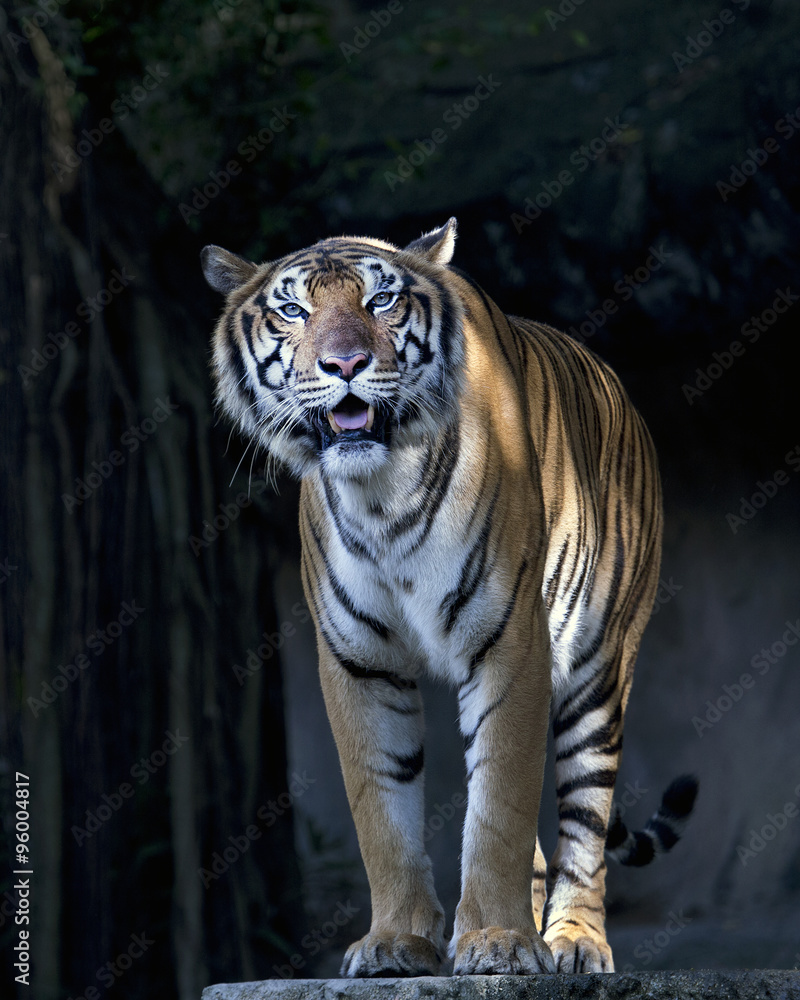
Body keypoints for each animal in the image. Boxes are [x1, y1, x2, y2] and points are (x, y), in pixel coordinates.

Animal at [201, 218, 698, 977]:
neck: (381, 498)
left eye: (380, 301)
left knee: (585, 816)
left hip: (599, 668)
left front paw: (496, 941)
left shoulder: (511, 642)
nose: (344, 364)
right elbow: (381, 810)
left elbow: (499, 806)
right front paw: (395, 941)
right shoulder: (357, 662)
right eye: (292, 310)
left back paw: (572, 942)